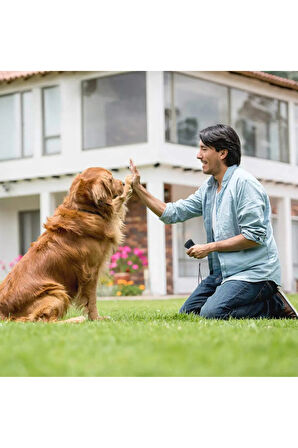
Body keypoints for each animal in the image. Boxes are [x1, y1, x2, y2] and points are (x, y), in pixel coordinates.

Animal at [0, 167, 133, 322]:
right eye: (110, 179)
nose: (122, 183)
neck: (84, 209)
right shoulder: (91, 271)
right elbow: (92, 300)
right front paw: (96, 318)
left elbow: (117, 202)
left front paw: (130, 182)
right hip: (56, 291)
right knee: (44, 321)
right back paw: (77, 320)